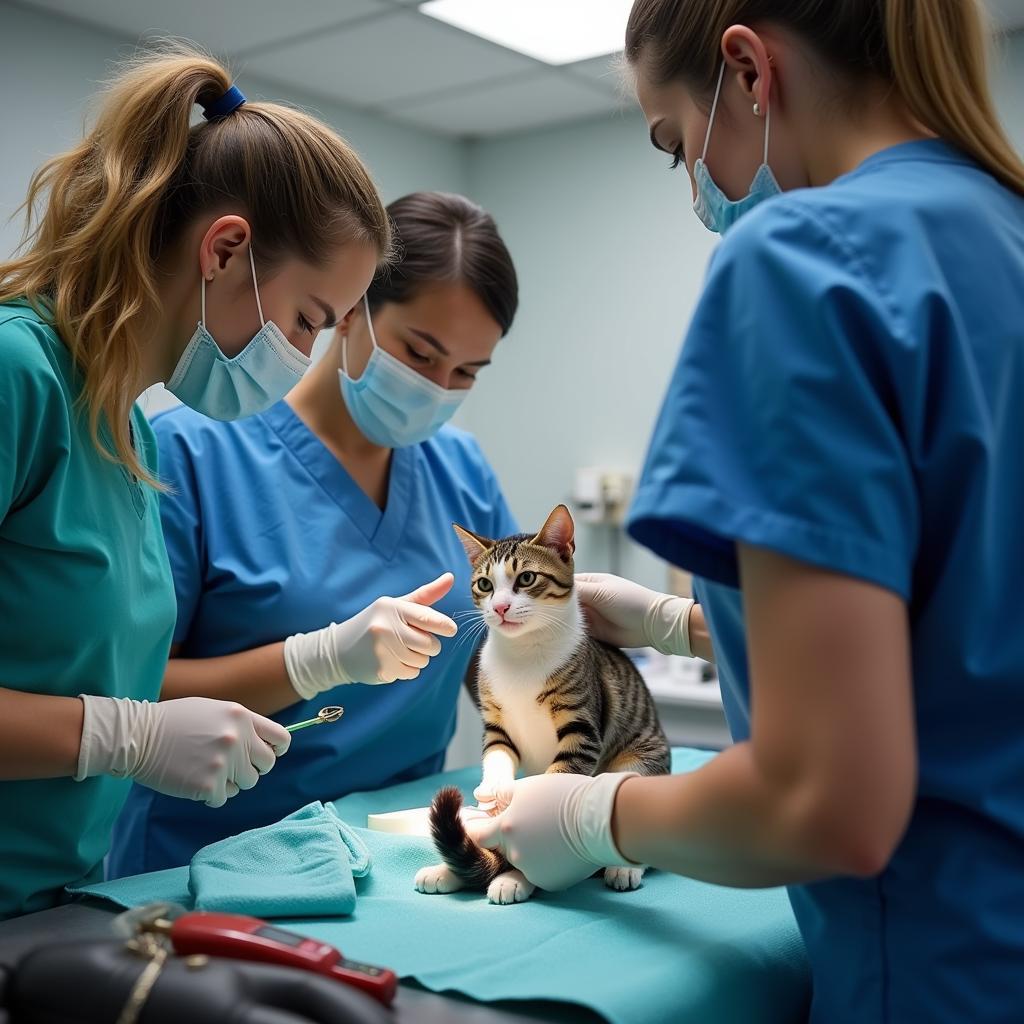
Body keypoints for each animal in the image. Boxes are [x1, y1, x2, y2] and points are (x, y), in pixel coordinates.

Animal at [411, 503, 667, 905]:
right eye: (485, 584)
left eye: (527, 578)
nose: (500, 607)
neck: (523, 653)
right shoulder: (496, 721)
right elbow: (497, 754)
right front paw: (494, 791)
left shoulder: (581, 729)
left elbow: (549, 792)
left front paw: (522, 847)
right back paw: (450, 870)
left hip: (638, 763)